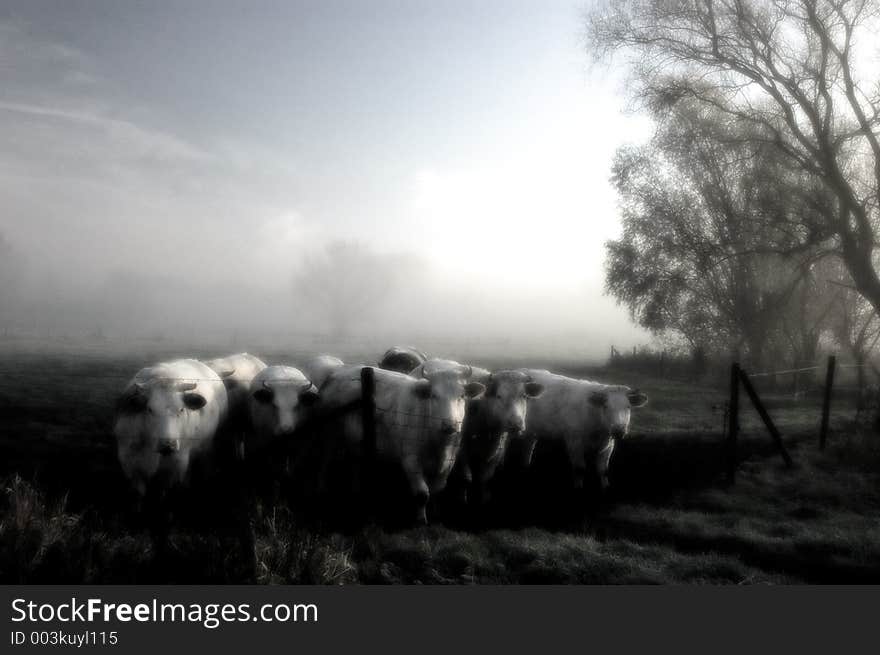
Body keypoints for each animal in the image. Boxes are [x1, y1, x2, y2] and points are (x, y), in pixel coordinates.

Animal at [316, 364, 484, 524]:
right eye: (433, 395)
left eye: (462, 396)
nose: (450, 425)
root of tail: (336, 375)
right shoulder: (410, 461)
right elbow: (422, 493)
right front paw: (420, 519)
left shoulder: (448, 463)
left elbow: (437, 491)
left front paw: (435, 514)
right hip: (330, 434)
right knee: (325, 460)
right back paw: (323, 487)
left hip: (356, 442)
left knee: (355, 462)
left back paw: (356, 489)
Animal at [516, 372, 648, 494]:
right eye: (606, 406)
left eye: (628, 407)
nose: (619, 430)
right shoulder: (574, 442)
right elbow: (580, 468)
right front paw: (579, 488)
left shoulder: (609, 445)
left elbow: (603, 470)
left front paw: (605, 487)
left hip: (532, 432)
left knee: (528, 447)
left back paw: (526, 467)